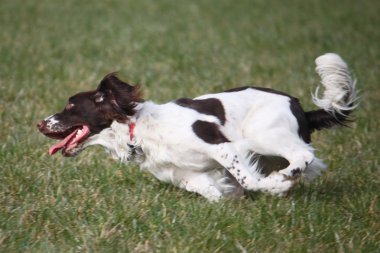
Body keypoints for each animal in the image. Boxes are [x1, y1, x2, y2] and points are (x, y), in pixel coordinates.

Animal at [37, 53, 358, 202]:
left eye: (70, 106)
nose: (39, 124)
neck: (139, 130)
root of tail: (300, 107)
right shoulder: (186, 175)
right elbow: (214, 192)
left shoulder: (223, 147)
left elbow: (249, 180)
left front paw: (275, 186)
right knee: (307, 161)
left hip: (262, 134)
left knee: (303, 156)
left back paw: (283, 179)